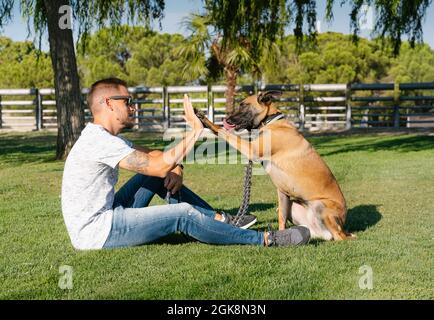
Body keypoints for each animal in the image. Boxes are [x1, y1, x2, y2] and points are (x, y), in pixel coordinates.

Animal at [195, 90, 354, 240]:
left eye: (243, 105)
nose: (227, 119)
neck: (269, 121)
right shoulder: (282, 193)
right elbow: (282, 217)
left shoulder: (251, 149)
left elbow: (224, 133)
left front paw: (208, 121)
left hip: (321, 206)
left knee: (340, 237)